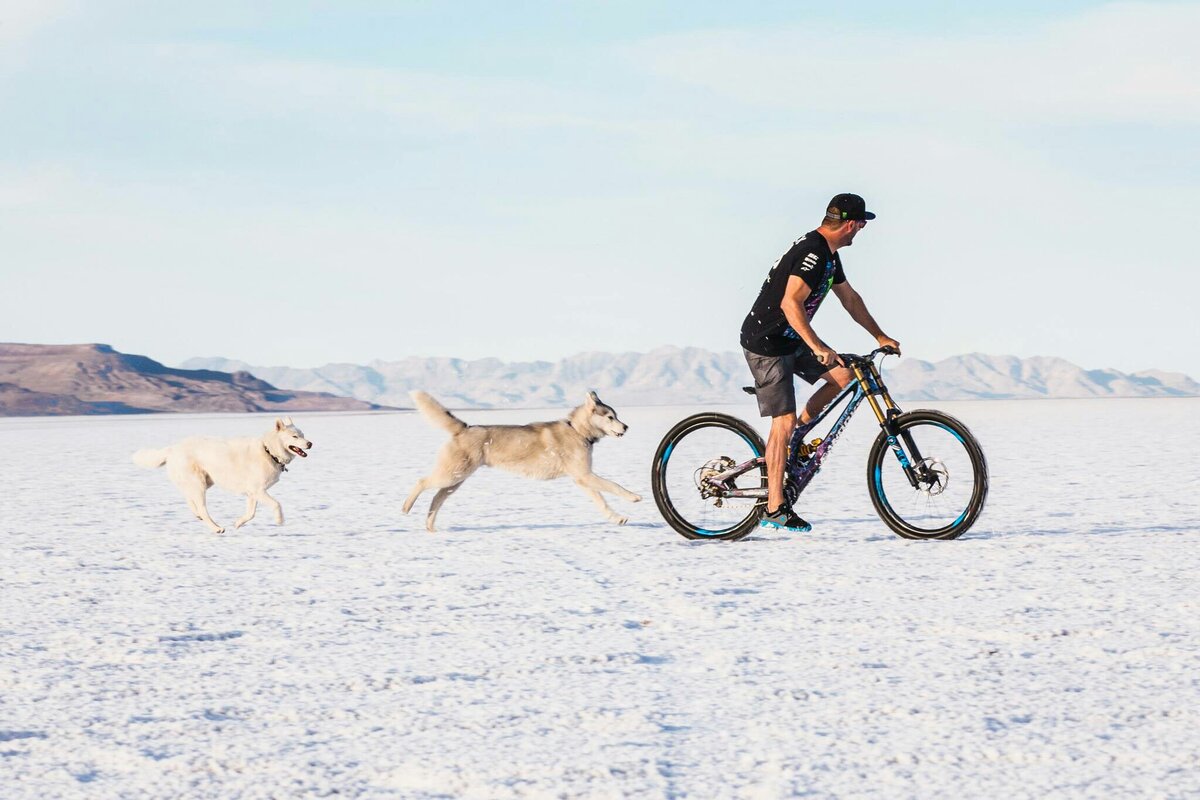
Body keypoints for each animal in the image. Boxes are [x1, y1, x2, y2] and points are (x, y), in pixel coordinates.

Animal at [132, 417, 312, 534]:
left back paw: (198, 515)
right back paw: (216, 528)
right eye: (295, 437)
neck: (269, 451)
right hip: (199, 484)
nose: (310, 443)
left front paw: (238, 523)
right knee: (202, 508)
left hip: (203, 482)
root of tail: (172, 448)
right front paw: (279, 520)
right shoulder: (259, 491)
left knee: (189, 500)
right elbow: (277, 504)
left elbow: (251, 514)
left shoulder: (253, 494)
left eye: (303, 435)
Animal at [403, 388, 643, 532]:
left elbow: (601, 502)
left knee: (437, 498)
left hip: (456, 479)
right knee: (422, 482)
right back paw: (406, 507)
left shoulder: (582, 479)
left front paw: (617, 518)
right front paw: (634, 497)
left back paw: (430, 527)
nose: (626, 427)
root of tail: (465, 428)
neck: (577, 431)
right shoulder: (585, 475)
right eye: (610, 417)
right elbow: (614, 485)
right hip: (453, 474)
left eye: (617, 415)